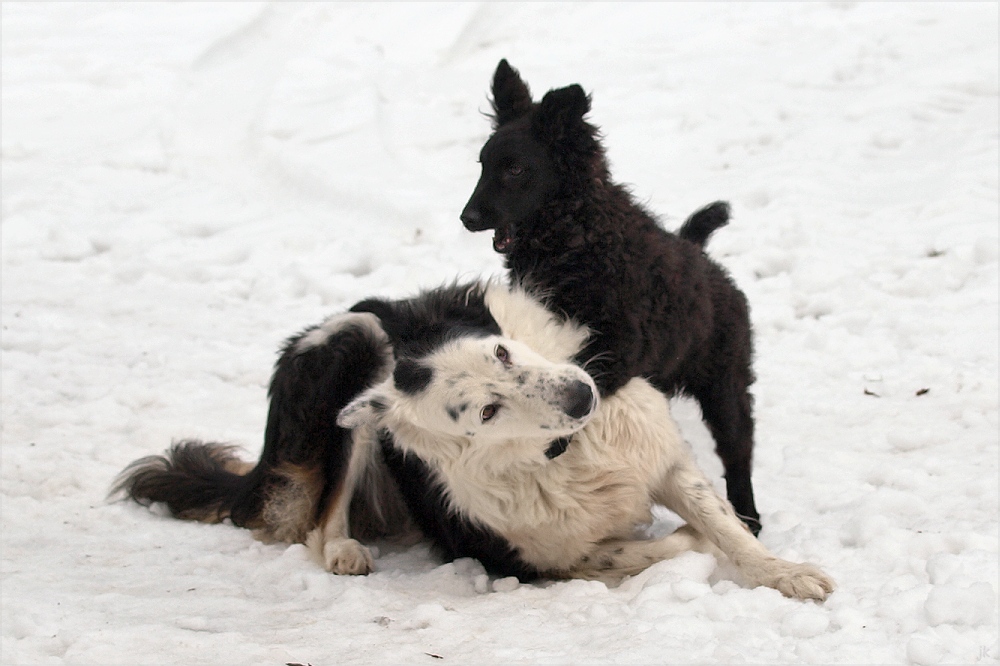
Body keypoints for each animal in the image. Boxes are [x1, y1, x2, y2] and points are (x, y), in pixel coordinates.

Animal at [111, 280, 836, 596]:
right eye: (486, 411)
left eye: (503, 351)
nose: (582, 396)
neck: (567, 448)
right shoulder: (529, 560)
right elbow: (640, 553)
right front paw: (683, 542)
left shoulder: (660, 459)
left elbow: (728, 528)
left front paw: (787, 573)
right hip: (353, 365)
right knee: (319, 518)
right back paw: (344, 548)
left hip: (365, 334)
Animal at [464, 58, 760, 536]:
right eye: (483, 164)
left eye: (515, 169)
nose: (467, 217)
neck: (578, 238)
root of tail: (704, 258)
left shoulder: (621, 345)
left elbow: (585, 381)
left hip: (725, 383)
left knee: (738, 450)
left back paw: (748, 516)